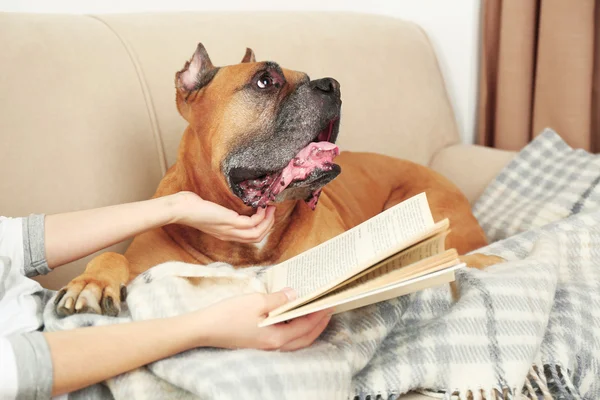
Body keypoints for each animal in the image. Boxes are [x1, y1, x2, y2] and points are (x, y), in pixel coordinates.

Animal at [56, 43, 500, 318]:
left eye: (308, 76)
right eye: (264, 81)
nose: (332, 85)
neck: (242, 248)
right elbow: (113, 256)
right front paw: (91, 282)